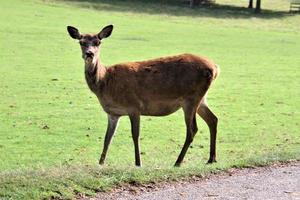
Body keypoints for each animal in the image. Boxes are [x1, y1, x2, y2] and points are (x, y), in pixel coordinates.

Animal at [67, 24, 219, 166]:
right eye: (81, 42)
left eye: (98, 42)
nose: (89, 54)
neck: (105, 82)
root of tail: (215, 68)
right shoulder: (113, 113)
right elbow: (107, 138)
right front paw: (100, 163)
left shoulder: (134, 106)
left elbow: (135, 135)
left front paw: (138, 163)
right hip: (201, 99)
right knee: (213, 119)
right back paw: (211, 158)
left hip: (191, 98)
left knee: (192, 129)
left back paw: (178, 162)